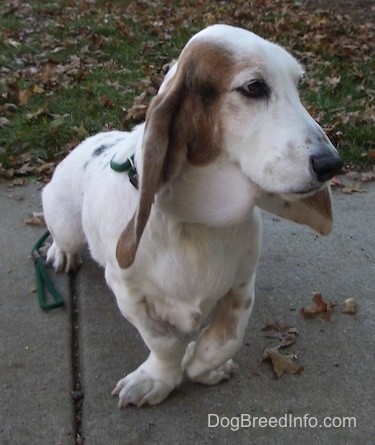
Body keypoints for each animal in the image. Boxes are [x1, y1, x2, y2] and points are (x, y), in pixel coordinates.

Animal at [41, 24, 344, 406]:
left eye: (298, 84)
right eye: (253, 87)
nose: (332, 164)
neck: (197, 220)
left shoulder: (242, 286)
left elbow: (226, 340)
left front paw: (201, 366)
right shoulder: (129, 292)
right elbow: (163, 343)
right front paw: (157, 379)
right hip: (64, 219)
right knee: (63, 238)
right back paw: (61, 253)